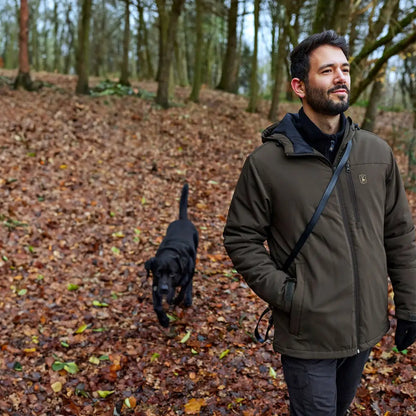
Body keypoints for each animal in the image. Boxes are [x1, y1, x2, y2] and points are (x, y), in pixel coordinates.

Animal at [145, 184, 199, 326]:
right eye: (158, 273)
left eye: (172, 274)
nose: (164, 289)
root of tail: (183, 220)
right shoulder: (156, 284)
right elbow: (157, 306)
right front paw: (163, 320)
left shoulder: (184, 277)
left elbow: (182, 291)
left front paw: (176, 300)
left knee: (188, 284)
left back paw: (187, 299)